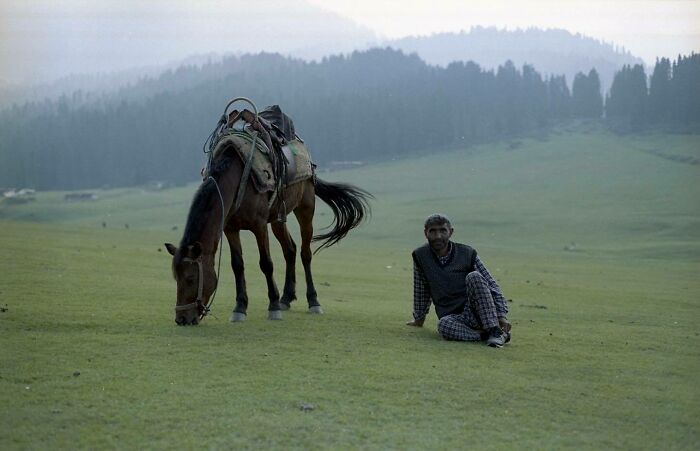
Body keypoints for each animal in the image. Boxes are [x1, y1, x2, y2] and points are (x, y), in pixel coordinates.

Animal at [164, 115, 371, 326]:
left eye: (191, 278)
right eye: (176, 277)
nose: (182, 319)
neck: (237, 179)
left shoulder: (259, 226)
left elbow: (266, 263)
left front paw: (273, 306)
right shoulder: (230, 228)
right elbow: (237, 265)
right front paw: (240, 308)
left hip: (305, 208)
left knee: (305, 253)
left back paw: (313, 301)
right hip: (278, 218)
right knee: (290, 249)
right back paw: (286, 298)